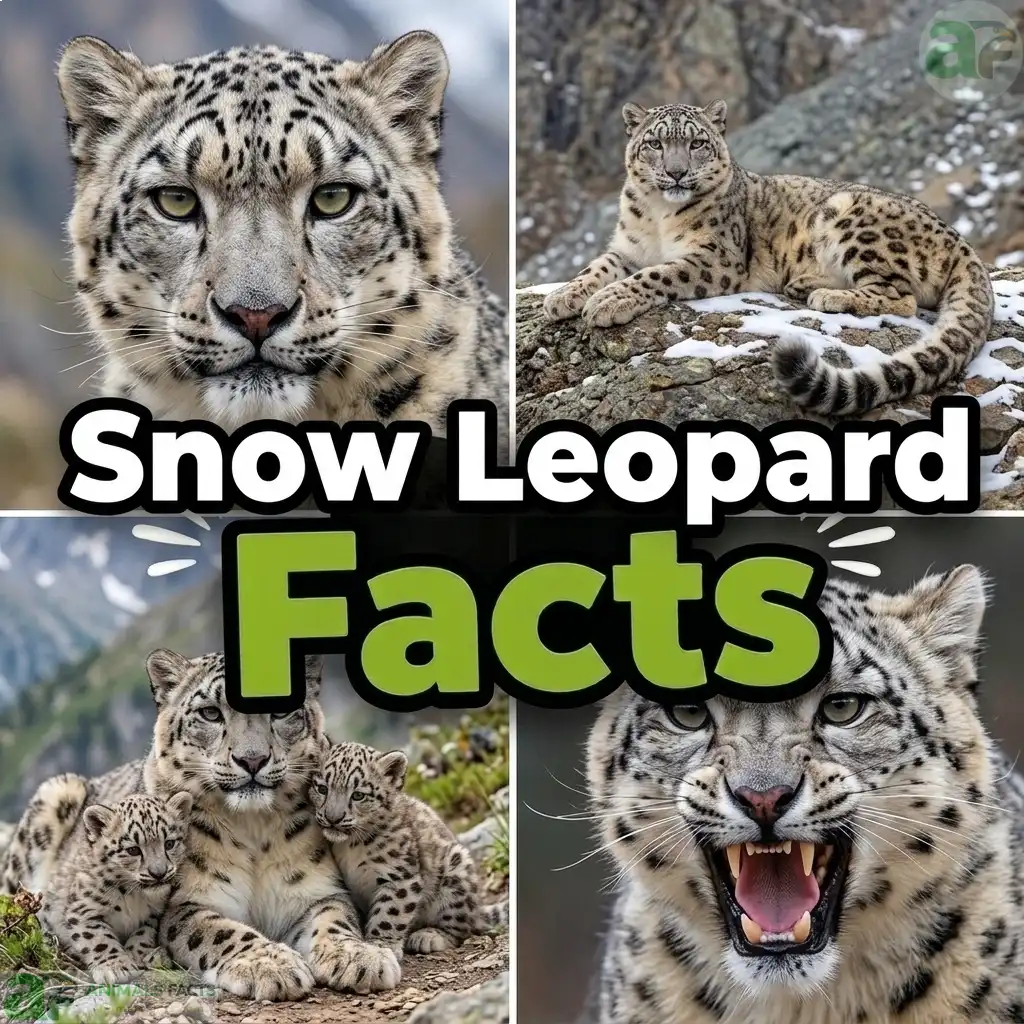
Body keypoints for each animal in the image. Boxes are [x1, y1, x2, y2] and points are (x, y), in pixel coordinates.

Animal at [37, 791, 192, 984]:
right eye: (133, 850)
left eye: (169, 844)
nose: (159, 872)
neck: (134, 896)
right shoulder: (84, 910)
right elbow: (98, 938)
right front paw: (116, 967)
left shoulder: (154, 913)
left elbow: (144, 932)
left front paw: (138, 954)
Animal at [310, 741, 508, 957]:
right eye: (322, 788)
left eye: (358, 795)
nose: (333, 818)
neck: (349, 846)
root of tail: (477, 908)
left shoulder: (399, 876)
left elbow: (390, 913)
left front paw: (382, 944)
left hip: (456, 874)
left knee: (461, 928)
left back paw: (429, 937)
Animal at [541, 100, 994, 417]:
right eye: (655, 143)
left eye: (697, 143)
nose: (676, 173)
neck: (658, 216)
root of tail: (960, 240)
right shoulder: (627, 248)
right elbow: (597, 267)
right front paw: (564, 296)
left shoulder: (716, 257)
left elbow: (656, 275)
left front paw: (608, 301)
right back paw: (805, 283)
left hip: (849, 216)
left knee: (901, 297)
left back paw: (828, 296)